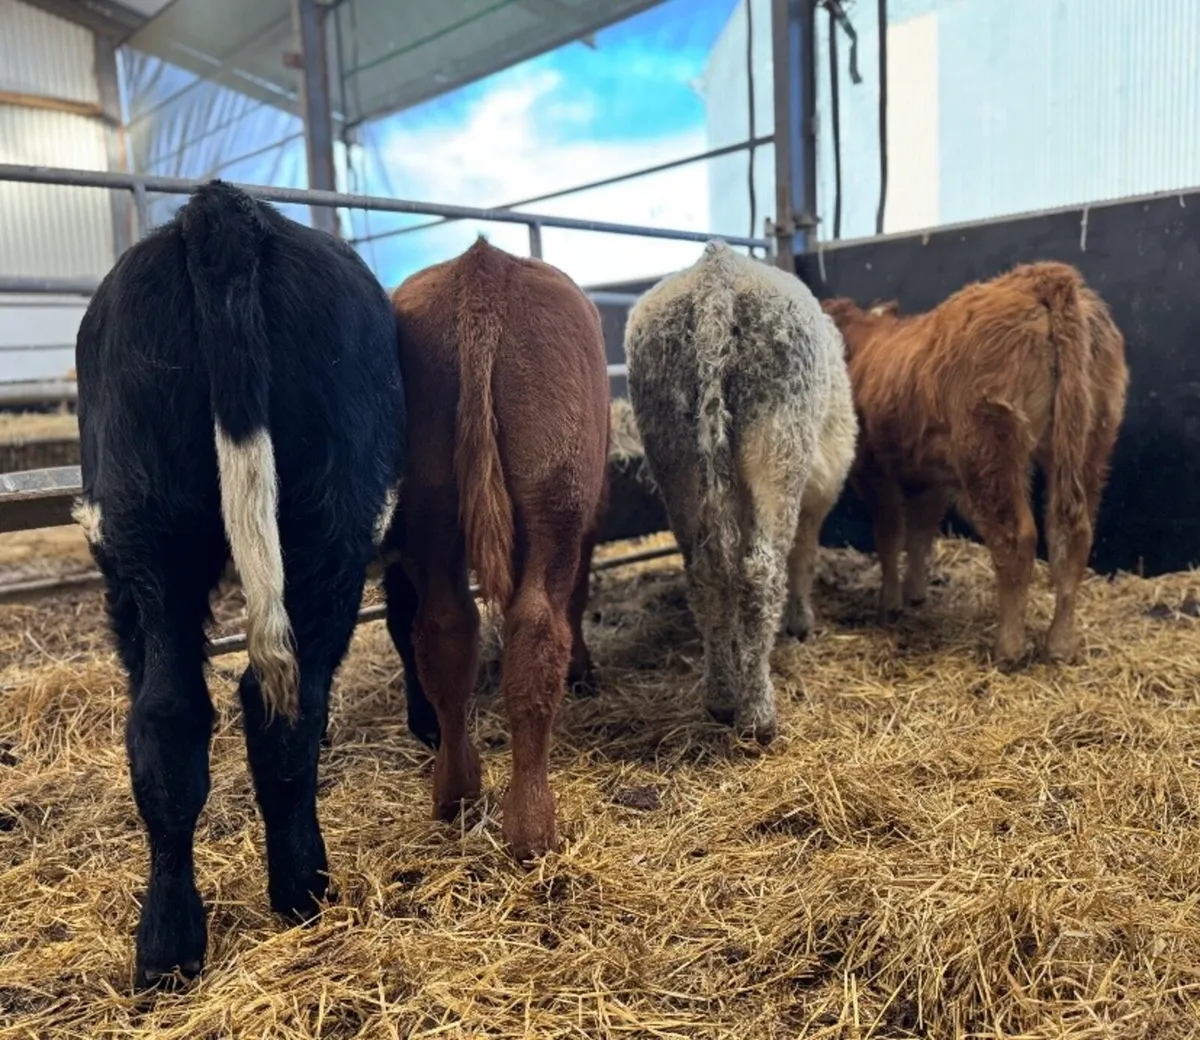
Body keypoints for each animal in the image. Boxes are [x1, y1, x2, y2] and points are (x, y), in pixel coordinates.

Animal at [72, 182, 404, 988]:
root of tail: (223, 208)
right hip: (315, 523)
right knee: (246, 709)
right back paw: (251, 913)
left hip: (162, 526)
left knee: (197, 710)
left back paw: (218, 925)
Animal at [381, 237, 610, 862]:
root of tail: (482, 270)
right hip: (557, 498)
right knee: (537, 628)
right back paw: (531, 827)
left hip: (429, 503)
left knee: (444, 631)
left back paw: (456, 789)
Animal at [624, 241, 858, 744]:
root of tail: (718, 271)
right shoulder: (823, 478)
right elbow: (805, 551)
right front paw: (800, 620)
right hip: (780, 443)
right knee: (760, 571)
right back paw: (757, 713)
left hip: (676, 453)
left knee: (707, 572)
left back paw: (720, 696)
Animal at [823, 260, 1129, 668]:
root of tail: (1045, 275)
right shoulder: (930, 477)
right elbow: (921, 533)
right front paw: (915, 594)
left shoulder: (874, 471)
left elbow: (889, 537)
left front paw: (890, 605)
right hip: (1092, 439)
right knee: (1073, 535)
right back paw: (1060, 645)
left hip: (988, 447)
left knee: (1016, 538)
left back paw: (1008, 649)